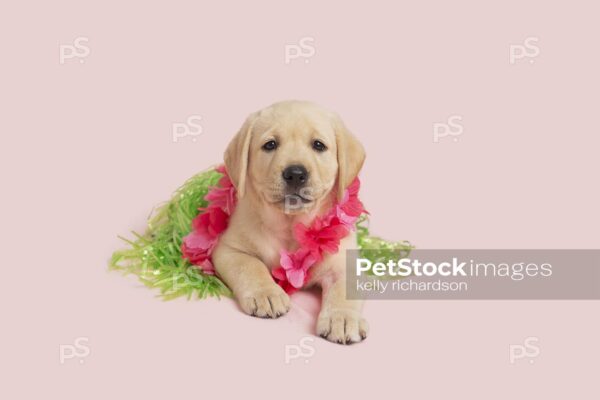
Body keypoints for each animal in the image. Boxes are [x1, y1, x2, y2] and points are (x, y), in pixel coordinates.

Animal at [213, 100, 368, 344]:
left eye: (318, 145)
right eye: (270, 145)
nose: (295, 173)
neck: (289, 226)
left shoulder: (345, 261)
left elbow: (345, 289)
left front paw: (341, 318)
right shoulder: (228, 249)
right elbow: (250, 266)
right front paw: (265, 293)